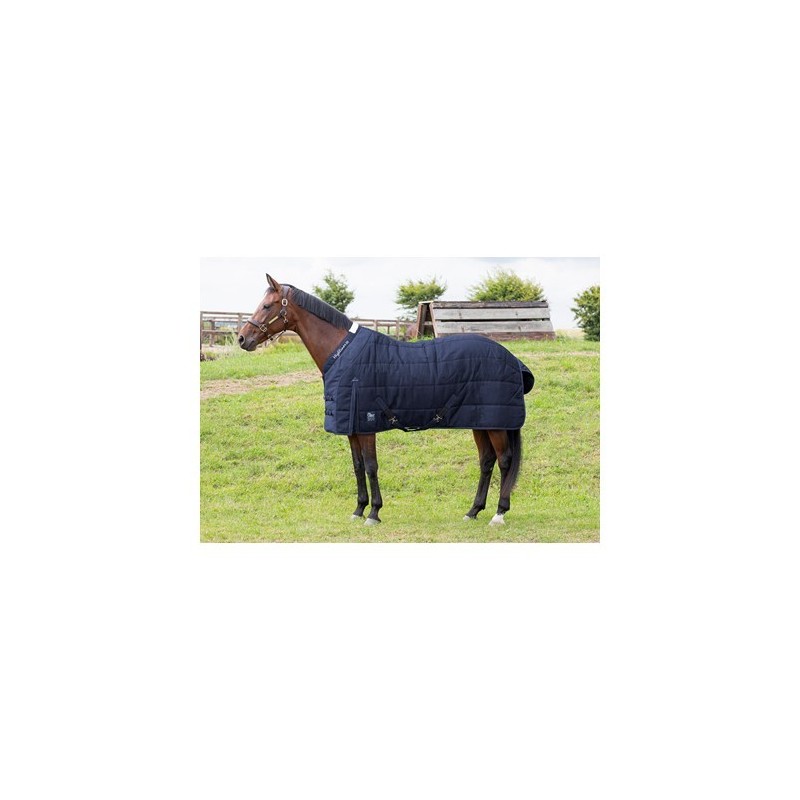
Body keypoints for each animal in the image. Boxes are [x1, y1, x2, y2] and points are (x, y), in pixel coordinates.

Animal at [238, 275, 535, 527]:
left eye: (267, 306)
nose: (242, 338)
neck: (343, 353)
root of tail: (512, 359)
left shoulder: (367, 424)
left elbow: (371, 466)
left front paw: (374, 513)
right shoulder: (352, 427)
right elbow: (357, 466)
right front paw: (358, 509)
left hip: (495, 424)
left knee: (504, 461)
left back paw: (498, 514)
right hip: (479, 421)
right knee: (486, 461)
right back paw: (472, 511)